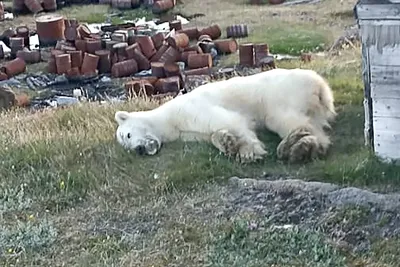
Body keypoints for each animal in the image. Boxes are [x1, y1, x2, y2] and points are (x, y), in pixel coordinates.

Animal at [114, 68, 336, 164]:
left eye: (127, 135)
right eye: (126, 147)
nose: (139, 150)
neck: (168, 119)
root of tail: (320, 85)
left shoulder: (189, 109)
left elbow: (228, 120)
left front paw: (248, 152)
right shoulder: (187, 132)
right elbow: (211, 133)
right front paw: (227, 142)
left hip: (282, 93)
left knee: (283, 118)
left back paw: (298, 147)